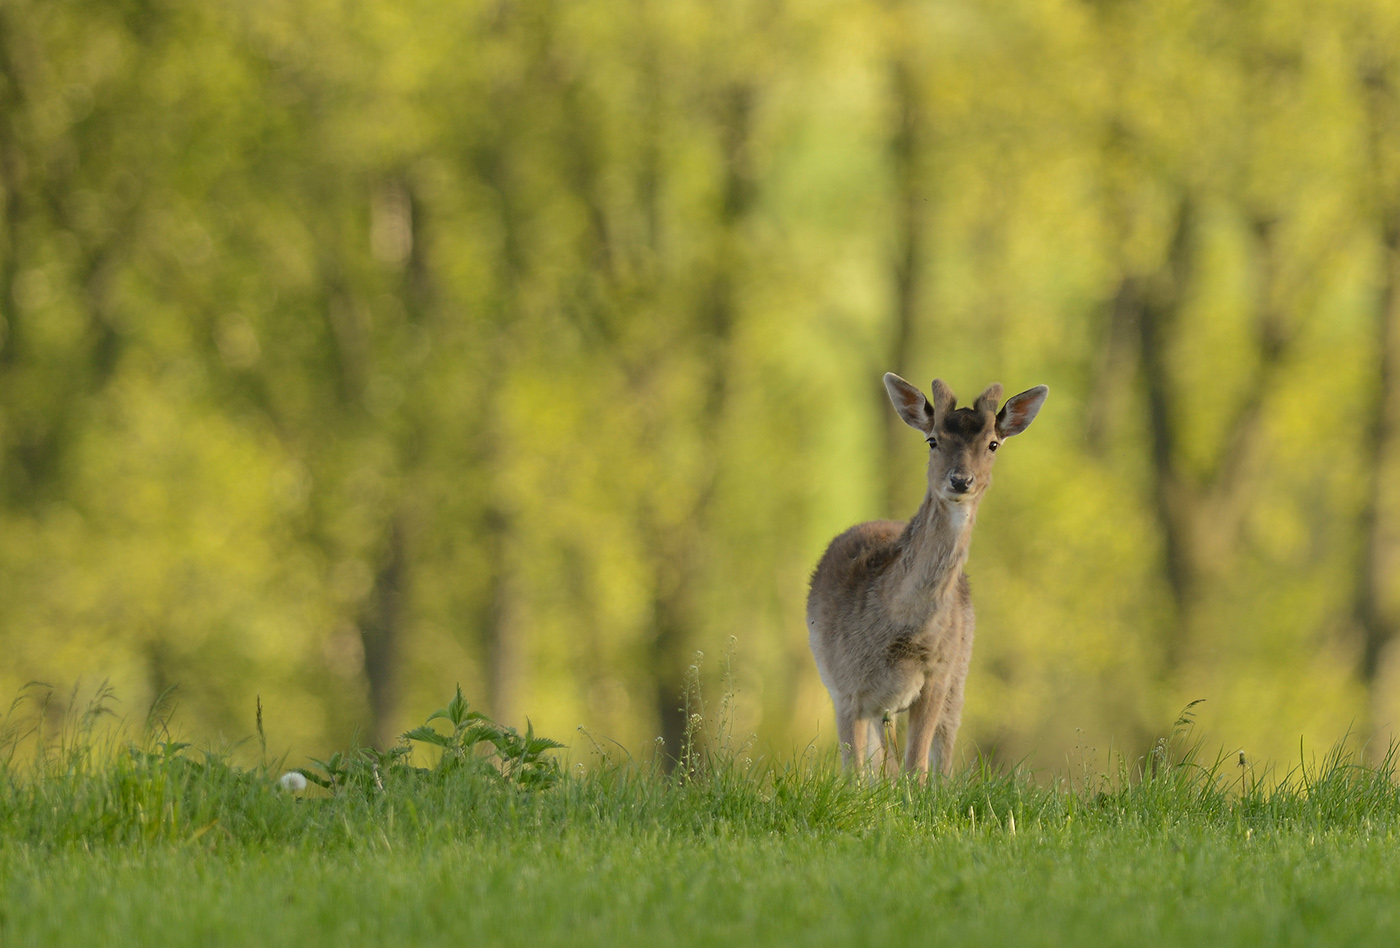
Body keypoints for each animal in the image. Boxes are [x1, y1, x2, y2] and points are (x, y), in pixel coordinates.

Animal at [806, 369, 1047, 778]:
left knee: (940, 758)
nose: (961, 480)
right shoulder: (845, 684)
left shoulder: (938, 675)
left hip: (959, 676)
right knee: (876, 764)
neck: (901, 634)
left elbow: (916, 768)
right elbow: (854, 774)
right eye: (933, 440)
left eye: (993, 444)